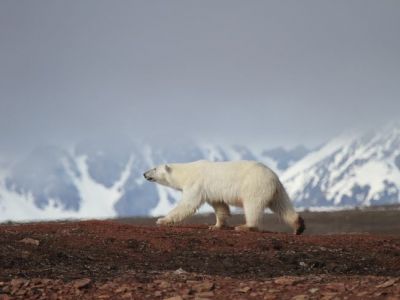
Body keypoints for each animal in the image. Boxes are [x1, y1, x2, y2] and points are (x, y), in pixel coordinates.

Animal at [144, 161, 306, 236]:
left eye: (154, 168)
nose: (144, 174)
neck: (186, 172)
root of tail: (274, 177)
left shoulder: (196, 184)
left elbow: (188, 204)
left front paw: (161, 220)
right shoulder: (211, 191)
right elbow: (220, 206)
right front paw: (216, 226)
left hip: (254, 185)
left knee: (252, 206)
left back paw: (245, 226)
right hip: (276, 191)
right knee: (283, 206)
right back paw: (298, 226)